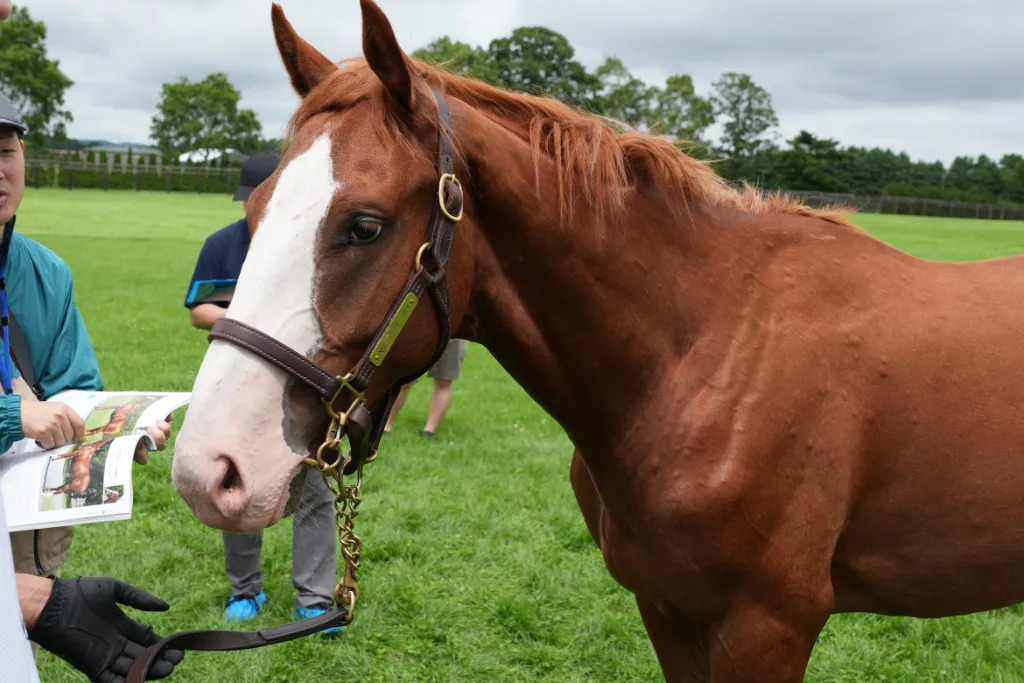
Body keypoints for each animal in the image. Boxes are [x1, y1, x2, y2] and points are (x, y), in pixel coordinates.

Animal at [169, 2, 1024, 680]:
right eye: (256, 211)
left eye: (365, 224)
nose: (210, 469)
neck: (710, 356)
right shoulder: (667, 609)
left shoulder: (767, 626)